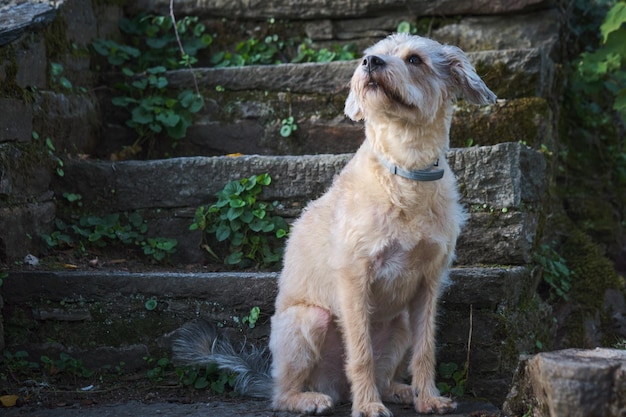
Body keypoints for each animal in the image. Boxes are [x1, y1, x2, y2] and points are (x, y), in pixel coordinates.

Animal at [173, 33, 494, 416]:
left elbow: (425, 349)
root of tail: (337, 388)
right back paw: (311, 398)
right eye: (372, 54)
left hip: (400, 322)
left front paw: (428, 397)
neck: (405, 170)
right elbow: (360, 353)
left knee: (385, 375)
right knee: (281, 394)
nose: (370, 62)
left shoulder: (428, 285)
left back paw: (400, 391)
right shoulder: (354, 280)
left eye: (415, 59)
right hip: (310, 320)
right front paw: (368, 406)